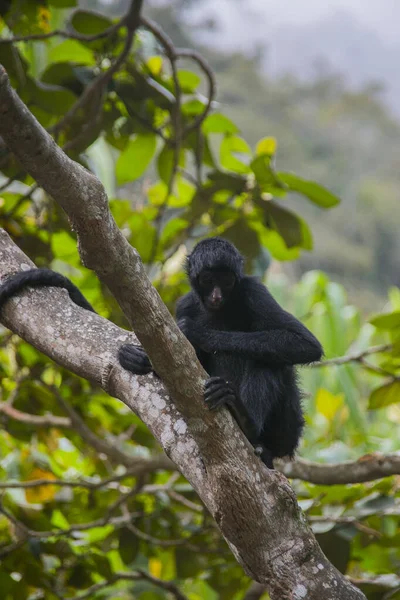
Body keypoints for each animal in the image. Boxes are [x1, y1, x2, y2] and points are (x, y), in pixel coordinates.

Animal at [0, 238, 322, 468]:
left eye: (227, 281)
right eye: (208, 280)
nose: (217, 295)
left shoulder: (254, 291)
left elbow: (305, 344)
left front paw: (194, 332)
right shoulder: (187, 302)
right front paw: (136, 358)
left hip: (287, 428)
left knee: (268, 361)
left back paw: (246, 421)